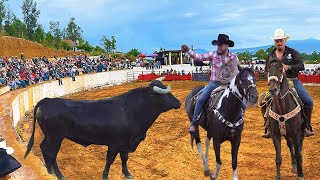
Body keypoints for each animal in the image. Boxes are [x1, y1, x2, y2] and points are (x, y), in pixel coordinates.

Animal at [24, 79, 181, 180]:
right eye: (165, 94)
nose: (179, 102)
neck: (131, 111)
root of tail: (47, 100)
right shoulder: (114, 144)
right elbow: (110, 160)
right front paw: (105, 176)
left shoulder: (124, 144)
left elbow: (124, 158)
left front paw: (127, 174)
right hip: (55, 137)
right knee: (51, 153)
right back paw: (60, 175)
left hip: (50, 137)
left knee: (44, 148)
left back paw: (50, 170)